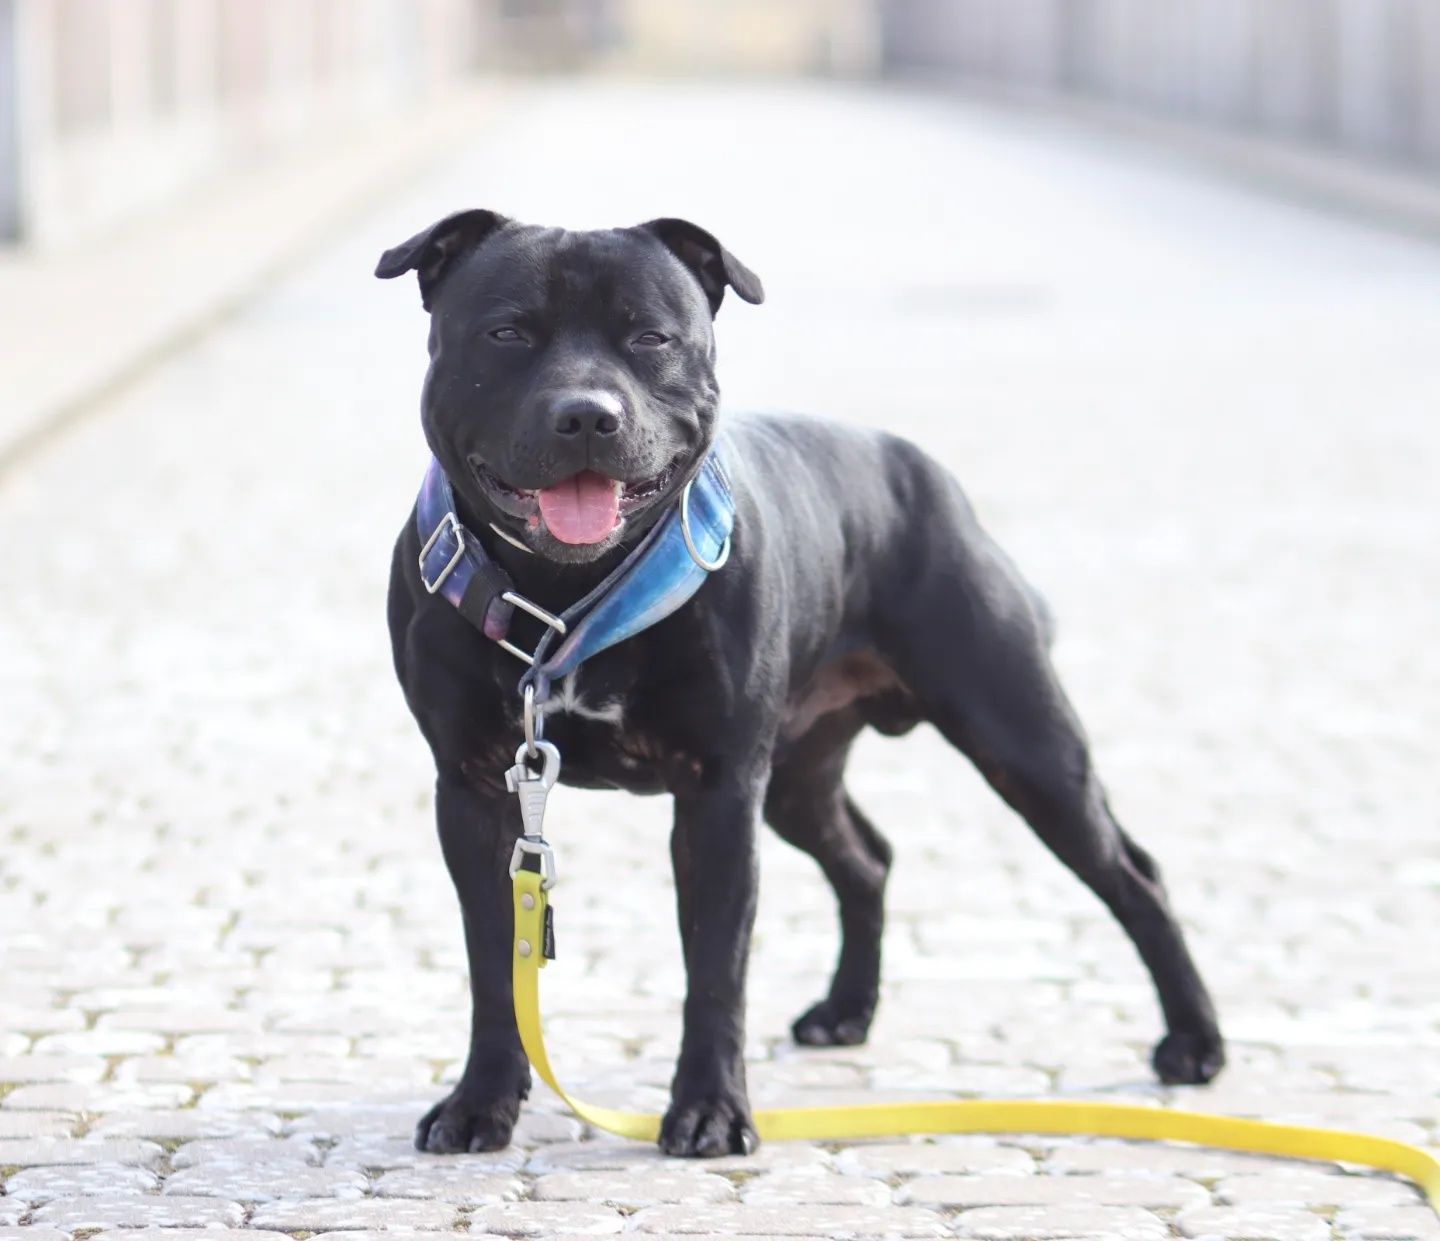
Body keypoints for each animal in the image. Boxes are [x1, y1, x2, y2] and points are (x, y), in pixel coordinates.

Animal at [377, 211, 1221, 1157]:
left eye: (650, 338)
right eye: (508, 333)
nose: (588, 414)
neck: (561, 598)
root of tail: (924, 472)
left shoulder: (717, 795)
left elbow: (715, 968)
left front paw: (709, 1110)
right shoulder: (476, 791)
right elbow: (495, 965)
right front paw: (481, 1102)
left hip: (1024, 746)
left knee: (1134, 874)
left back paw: (1195, 1041)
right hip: (798, 778)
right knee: (869, 858)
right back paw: (848, 1009)